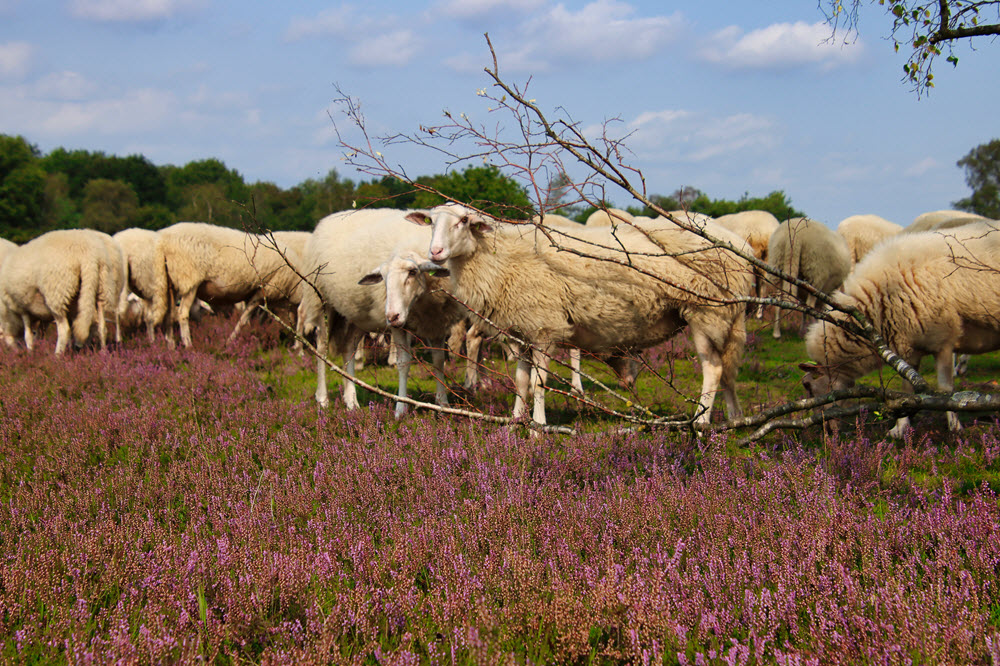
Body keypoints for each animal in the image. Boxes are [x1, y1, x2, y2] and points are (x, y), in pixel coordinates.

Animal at [158, 223, 306, 348]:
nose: (301, 348)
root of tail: (163, 239)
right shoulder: (264, 291)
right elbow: (243, 320)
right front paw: (230, 342)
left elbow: (254, 319)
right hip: (189, 279)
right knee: (182, 313)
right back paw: (188, 345)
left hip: (170, 282)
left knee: (169, 313)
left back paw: (171, 346)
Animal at [302, 208, 470, 416]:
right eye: (382, 277)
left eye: (413, 272)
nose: (391, 316)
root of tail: (325, 220)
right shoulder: (399, 325)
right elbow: (403, 362)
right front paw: (400, 408)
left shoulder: (436, 321)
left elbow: (439, 361)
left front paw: (443, 405)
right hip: (321, 301)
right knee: (321, 349)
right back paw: (323, 399)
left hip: (359, 315)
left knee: (348, 347)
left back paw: (351, 401)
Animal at [406, 202, 752, 428]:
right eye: (431, 222)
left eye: (464, 221)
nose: (435, 252)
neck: (498, 259)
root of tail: (739, 246)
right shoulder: (521, 330)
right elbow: (520, 381)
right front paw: (515, 422)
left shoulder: (543, 326)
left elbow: (539, 383)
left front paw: (538, 428)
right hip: (727, 315)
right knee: (729, 370)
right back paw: (735, 418)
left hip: (707, 310)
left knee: (713, 368)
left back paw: (701, 423)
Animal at [800, 219, 1000, 436]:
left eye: (808, 386)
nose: (826, 430)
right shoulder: (909, 348)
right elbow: (906, 392)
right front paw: (900, 429)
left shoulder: (943, 341)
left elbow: (946, 390)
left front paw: (955, 427)